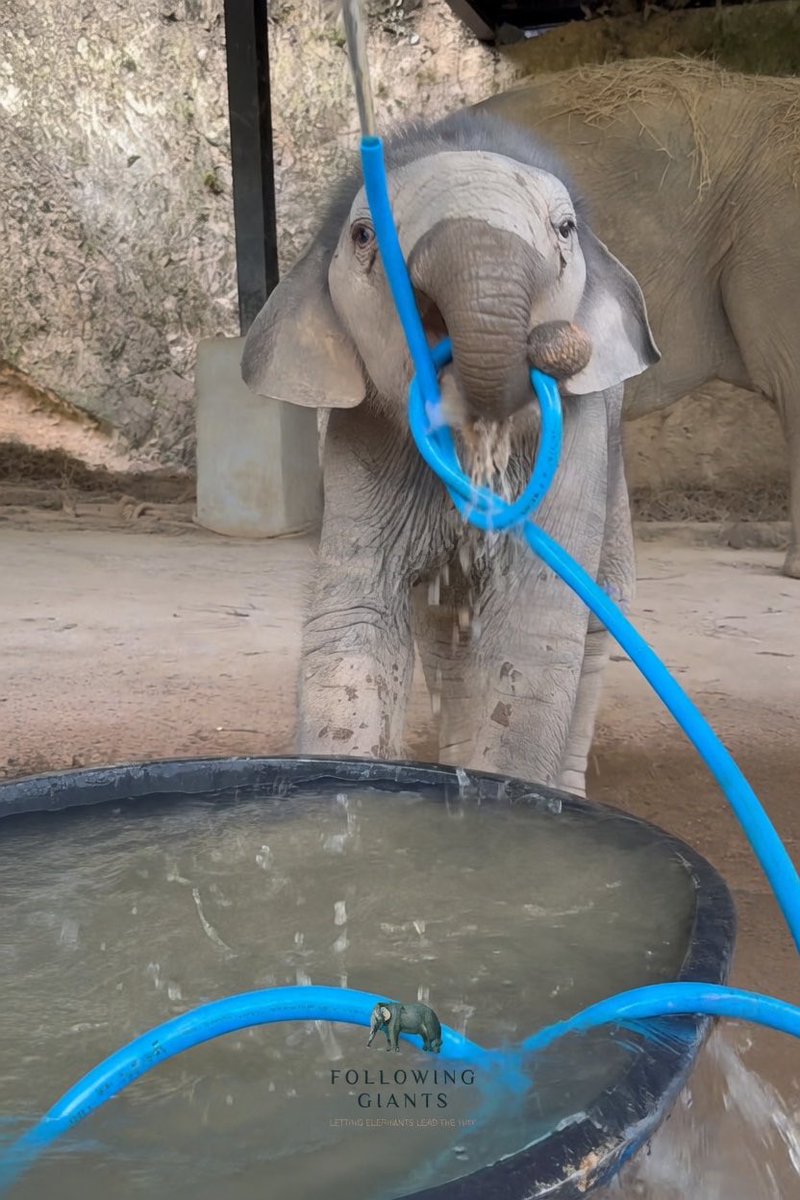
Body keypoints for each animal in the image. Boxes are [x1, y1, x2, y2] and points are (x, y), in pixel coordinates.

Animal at [241, 107, 658, 795]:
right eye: (363, 236)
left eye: (565, 230)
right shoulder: (361, 441)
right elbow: (354, 620)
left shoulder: (577, 446)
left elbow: (533, 638)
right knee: (444, 630)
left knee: (600, 623)